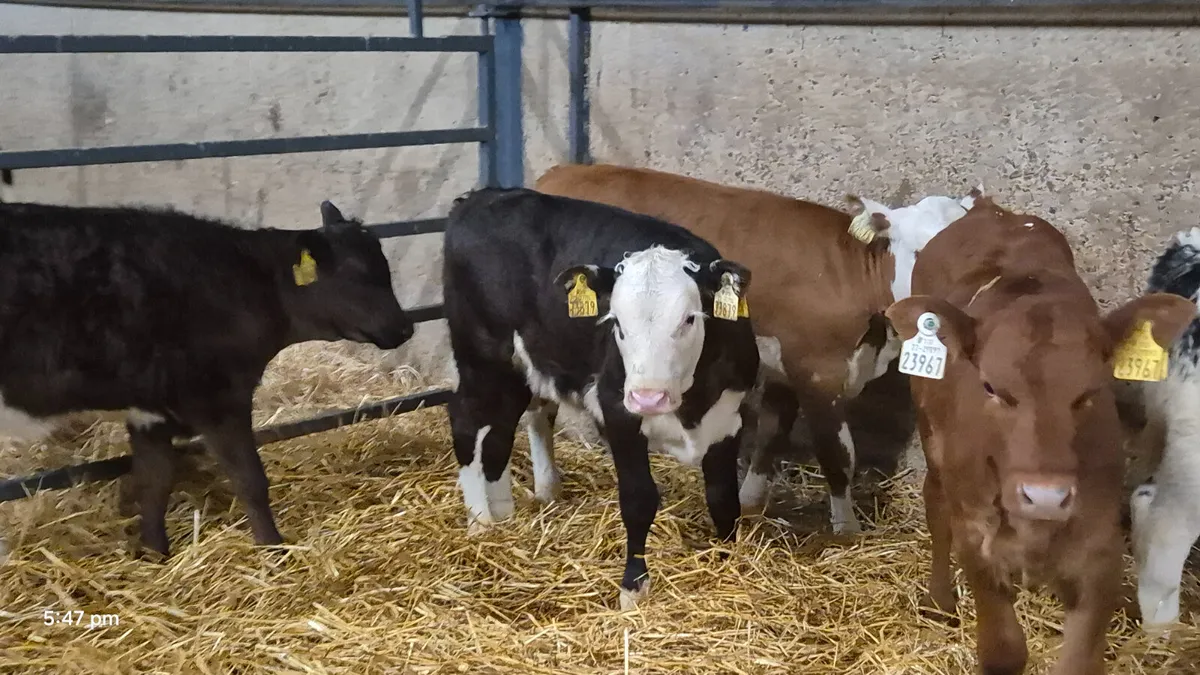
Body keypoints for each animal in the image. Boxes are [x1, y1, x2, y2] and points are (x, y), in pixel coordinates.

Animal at [0, 199, 414, 556]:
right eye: (357, 275)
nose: (404, 327)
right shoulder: (217, 398)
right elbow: (250, 479)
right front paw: (273, 549)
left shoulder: (150, 410)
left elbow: (155, 480)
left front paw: (156, 555)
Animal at [442, 187, 759, 609]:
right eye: (616, 322)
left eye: (690, 318)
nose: (648, 398)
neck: (689, 402)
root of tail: (481, 196)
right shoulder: (618, 411)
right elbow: (639, 500)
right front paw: (633, 588)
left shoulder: (728, 417)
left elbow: (724, 499)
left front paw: (727, 562)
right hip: (480, 355)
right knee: (464, 420)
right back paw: (480, 522)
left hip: (519, 365)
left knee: (501, 429)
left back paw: (504, 515)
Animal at [535, 163, 976, 533]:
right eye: (920, 251)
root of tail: (559, 172)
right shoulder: (818, 372)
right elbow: (839, 456)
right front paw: (847, 531)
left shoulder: (783, 369)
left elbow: (770, 436)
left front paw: (748, 502)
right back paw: (547, 486)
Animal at [885, 196, 1194, 675]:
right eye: (990, 387)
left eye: (1090, 390)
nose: (1045, 496)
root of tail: (993, 212)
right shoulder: (978, 544)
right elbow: (1003, 650)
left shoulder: (1099, 553)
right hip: (930, 431)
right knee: (934, 500)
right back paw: (939, 601)